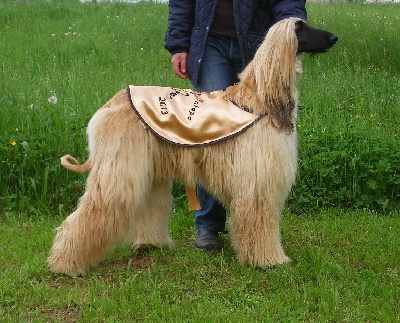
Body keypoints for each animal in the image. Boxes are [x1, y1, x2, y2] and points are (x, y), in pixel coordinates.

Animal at [48, 18, 340, 276]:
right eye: (300, 28)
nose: (334, 38)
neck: (259, 99)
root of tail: (110, 104)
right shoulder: (257, 182)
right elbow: (259, 220)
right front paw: (268, 260)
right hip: (121, 168)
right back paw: (65, 264)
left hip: (149, 167)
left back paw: (151, 243)